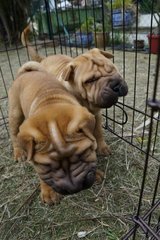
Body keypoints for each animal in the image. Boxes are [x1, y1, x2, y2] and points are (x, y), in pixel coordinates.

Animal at [9, 61, 99, 204]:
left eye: (84, 153)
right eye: (46, 166)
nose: (74, 188)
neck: (50, 103)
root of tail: (25, 72)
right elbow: (42, 176)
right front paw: (48, 193)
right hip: (15, 113)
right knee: (14, 134)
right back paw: (19, 153)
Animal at [21, 24, 129, 156]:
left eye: (112, 69)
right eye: (90, 80)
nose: (115, 85)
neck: (84, 100)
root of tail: (43, 59)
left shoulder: (97, 115)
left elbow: (98, 131)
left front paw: (102, 147)